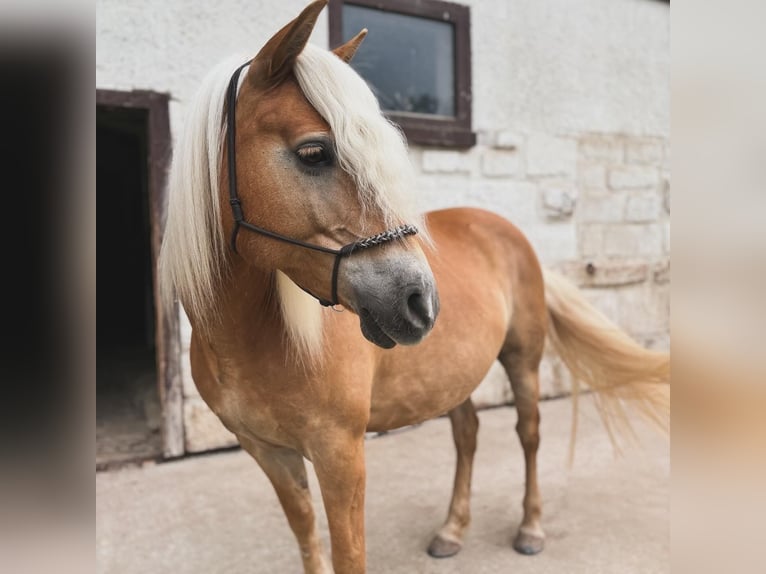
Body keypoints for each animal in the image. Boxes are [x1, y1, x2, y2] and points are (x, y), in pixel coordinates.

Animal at [158, 2, 672, 572]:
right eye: (314, 152)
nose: (419, 301)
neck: (255, 342)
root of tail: (506, 230)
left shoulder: (340, 455)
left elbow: (348, 553)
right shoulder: (271, 455)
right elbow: (307, 536)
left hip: (523, 359)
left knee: (529, 434)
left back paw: (530, 527)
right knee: (467, 435)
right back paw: (452, 530)